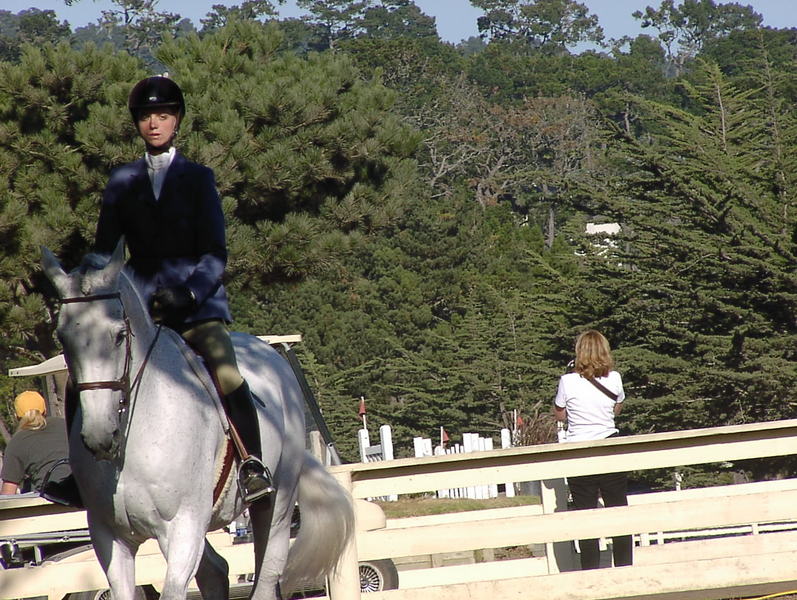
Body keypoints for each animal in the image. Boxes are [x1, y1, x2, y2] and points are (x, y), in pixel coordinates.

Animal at [41, 240, 354, 600]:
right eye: (62, 338)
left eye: (119, 335)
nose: (100, 436)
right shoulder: (110, 536)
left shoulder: (183, 526)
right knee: (216, 571)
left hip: (277, 505)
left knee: (265, 574)